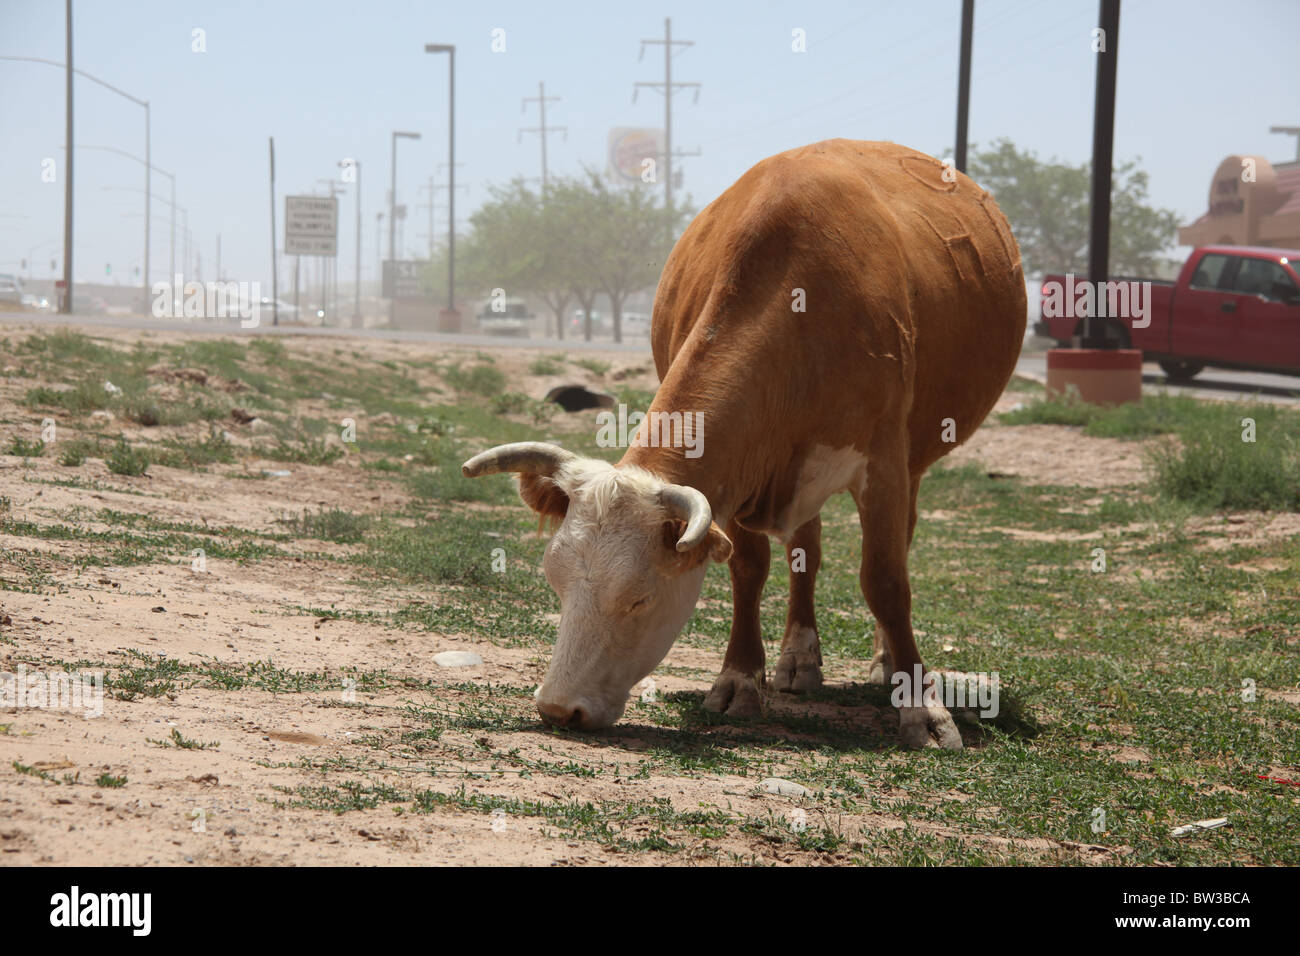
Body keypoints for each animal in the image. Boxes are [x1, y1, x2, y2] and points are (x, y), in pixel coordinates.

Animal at [467, 136, 1024, 749]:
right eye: (557, 582)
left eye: (639, 598)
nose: (557, 708)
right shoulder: (738, 474)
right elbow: (749, 569)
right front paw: (739, 680)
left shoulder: (883, 464)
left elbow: (884, 579)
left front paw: (922, 708)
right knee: (807, 550)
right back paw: (799, 660)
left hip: (913, 461)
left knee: (897, 543)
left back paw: (883, 662)